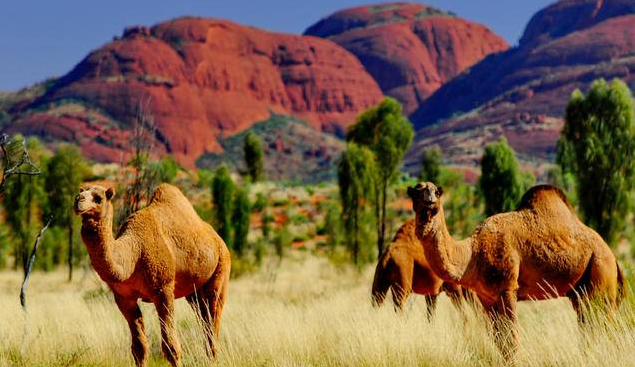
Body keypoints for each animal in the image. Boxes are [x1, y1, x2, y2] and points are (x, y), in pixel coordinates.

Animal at [74, 185, 232, 366]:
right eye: (82, 191)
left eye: (98, 198)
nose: (78, 199)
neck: (134, 252)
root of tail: (218, 239)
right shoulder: (124, 297)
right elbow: (139, 348)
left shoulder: (163, 289)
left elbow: (170, 346)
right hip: (194, 293)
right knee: (204, 320)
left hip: (221, 269)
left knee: (213, 320)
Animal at [408, 183, 628, 356]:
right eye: (416, 191)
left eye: (436, 192)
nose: (429, 200)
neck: (472, 253)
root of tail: (613, 256)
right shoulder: (486, 297)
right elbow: (499, 341)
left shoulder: (508, 288)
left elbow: (511, 340)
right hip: (580, 291)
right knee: (588, 326)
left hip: (601, 274)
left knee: (604, 325)